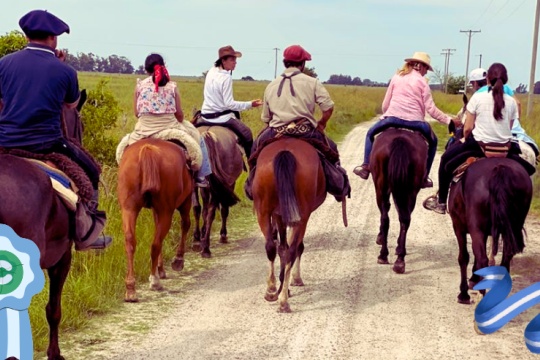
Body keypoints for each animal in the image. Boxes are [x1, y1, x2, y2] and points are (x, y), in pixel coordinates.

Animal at [117, 139, 192, 302]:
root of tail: (148, 148)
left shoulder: (154, 210)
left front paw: (161, 269)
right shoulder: (186, 202)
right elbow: (185, 225)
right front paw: (177, 261)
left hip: (129, 208)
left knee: (130, 241)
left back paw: (131, 289)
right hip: (167, 211)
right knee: (156, 243)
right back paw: (154, 281)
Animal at [190, 125, 240, 258]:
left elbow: (203, 210)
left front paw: (200, 236)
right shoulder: (229, 183)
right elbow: (223, 210)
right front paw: (223, 235)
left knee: (198, 208)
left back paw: (199, 242)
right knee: (213, 212)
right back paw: (206, 248)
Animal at [252, 138, 324, 312]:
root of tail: (285, 152)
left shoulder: (279, 214)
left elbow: (282, 248)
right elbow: (295, 246)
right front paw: (293, 280)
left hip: (263, 211)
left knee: (271, 247)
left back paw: (273, 291)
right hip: (301, 215)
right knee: (291, 249)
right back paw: (282, 299)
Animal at [370, 129, 428, 272]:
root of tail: (400, 140)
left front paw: (380, 238)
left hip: (381, 188)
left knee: (385, 218)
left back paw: (383, 255)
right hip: (411, 189)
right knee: (405, 218)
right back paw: (400, 260)